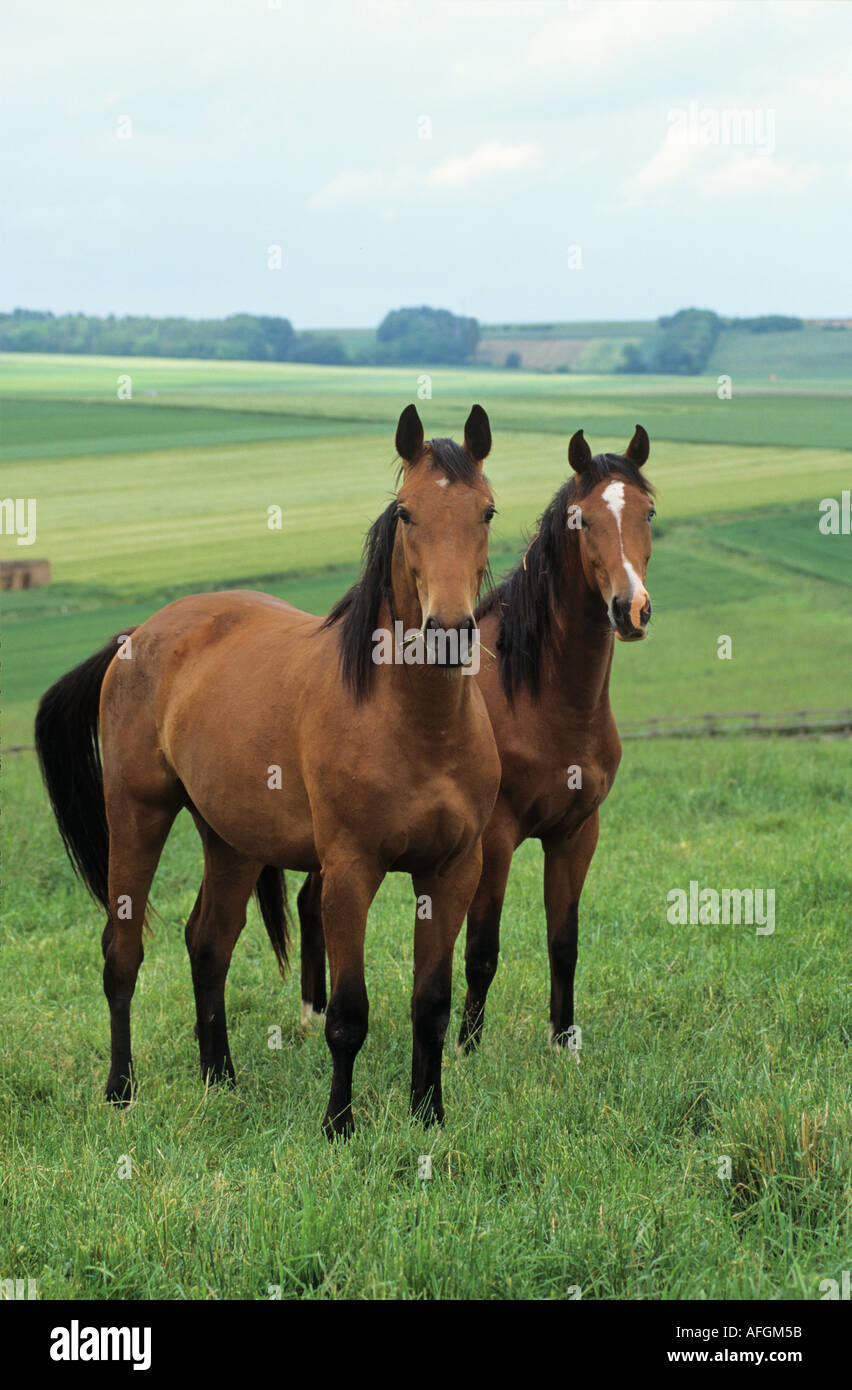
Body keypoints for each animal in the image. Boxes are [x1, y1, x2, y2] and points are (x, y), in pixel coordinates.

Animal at [35, 404, 502, 1138]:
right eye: (405, 513)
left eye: (486, 511)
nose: (447, 631)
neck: (417, 727)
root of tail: (140, 634)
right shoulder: (349, 873)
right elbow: (348, 1014)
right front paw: (339, 1125)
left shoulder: (454, 870)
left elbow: (430, 1003)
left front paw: (429, 1114)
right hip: (137, 815)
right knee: (122, 953)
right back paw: (120, 1091)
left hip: (231, 840)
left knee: (208, 943)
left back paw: (219, 1077)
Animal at [297, 425, 655, 1056]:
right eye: (582, 520)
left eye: (649, 514)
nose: (630, 608)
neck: (542, 698)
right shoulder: (496, 837)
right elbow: (482, 950)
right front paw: (467, 1046)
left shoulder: (577, 833)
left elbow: (564, 942)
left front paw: (563, 1041)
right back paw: (313, 1013)